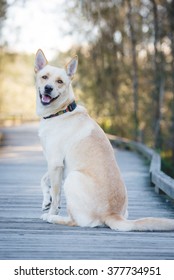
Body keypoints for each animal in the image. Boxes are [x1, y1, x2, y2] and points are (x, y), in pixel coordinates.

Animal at [34, 49, 174, 231]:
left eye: (59, 81)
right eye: (44, 77)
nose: (48, 88)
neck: (61, 111)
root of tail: (112, 215)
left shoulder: (55, 162)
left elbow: (56, 193)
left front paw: (51, 211)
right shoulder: (56, 164)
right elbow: (44, 180)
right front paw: (46, 200)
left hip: (72, 178)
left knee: (76, 221)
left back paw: (54, 218)